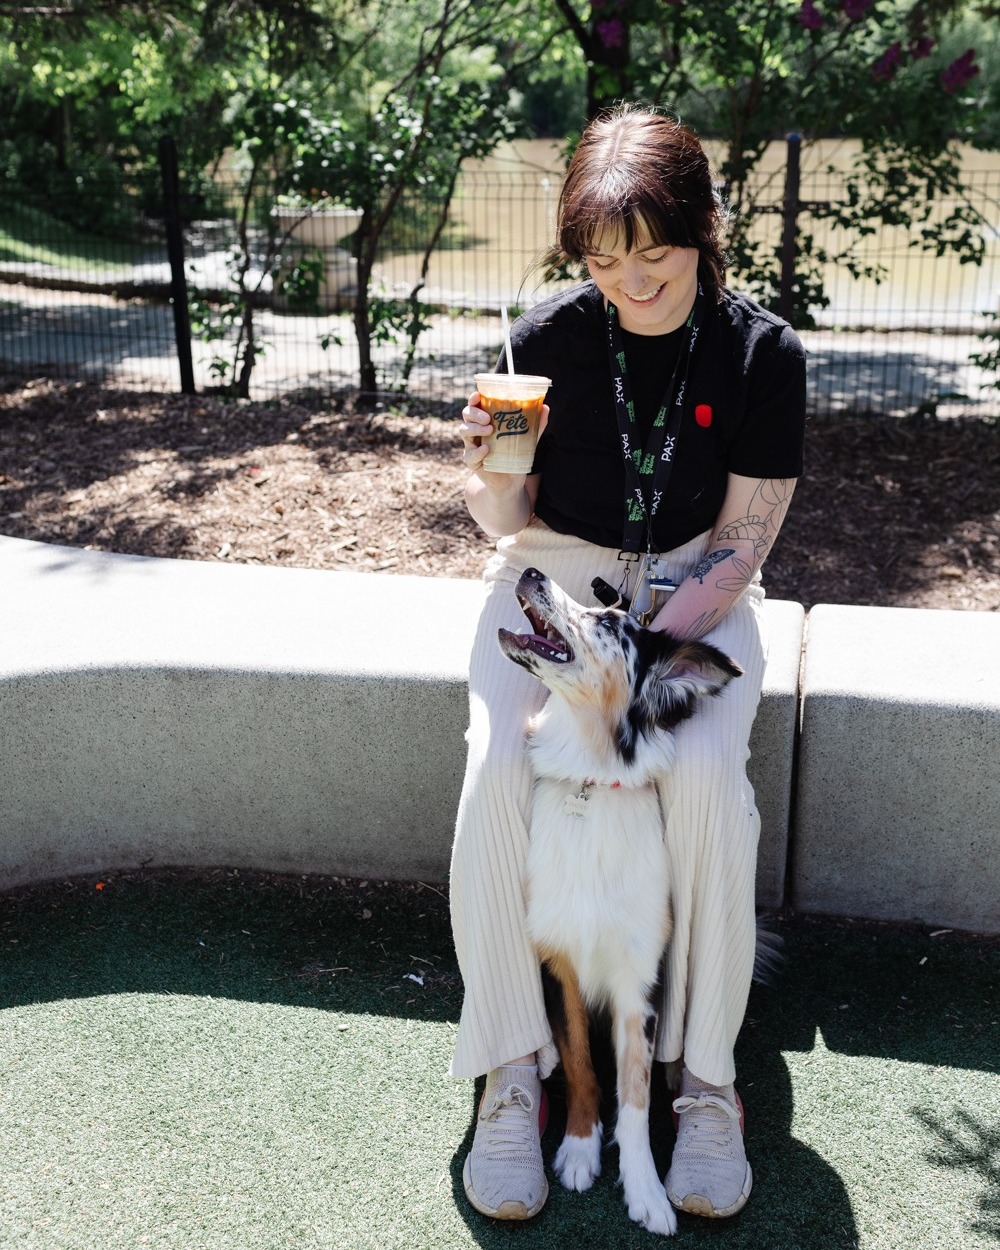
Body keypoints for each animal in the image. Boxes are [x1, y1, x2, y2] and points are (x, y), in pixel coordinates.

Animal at [497, 566, 743, 1236]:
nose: (531, 572)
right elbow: (583, 1063)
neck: (591, 775)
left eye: (609, 624)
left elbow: (633, 1095)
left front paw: (646, 1190)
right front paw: (580, 1149)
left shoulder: (641, 981)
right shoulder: (558, 960)